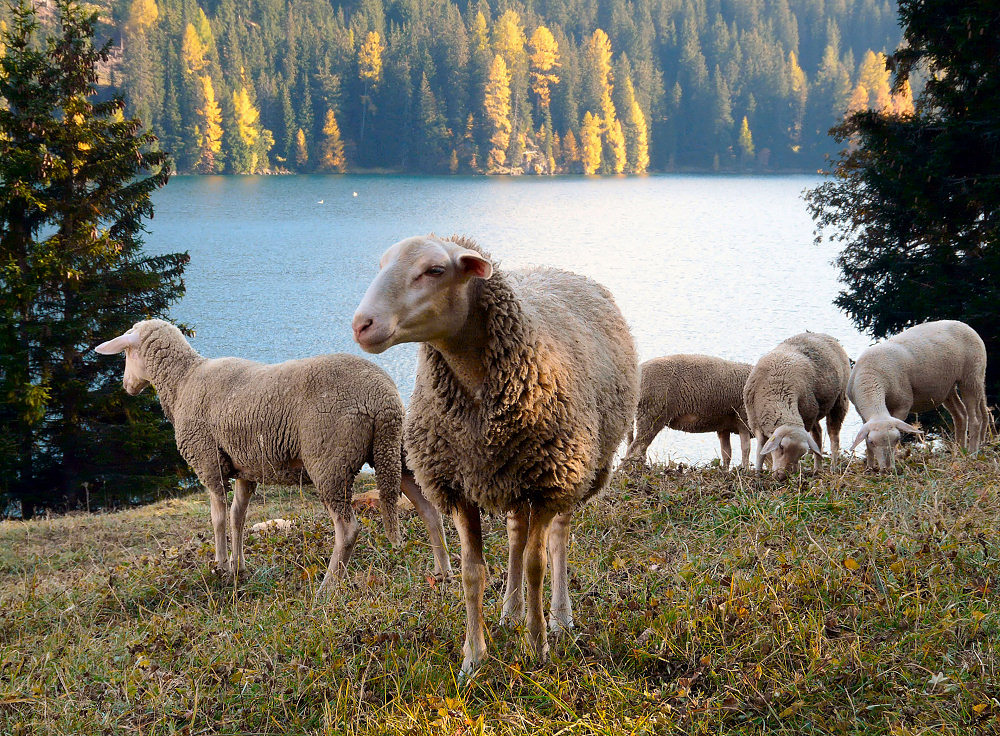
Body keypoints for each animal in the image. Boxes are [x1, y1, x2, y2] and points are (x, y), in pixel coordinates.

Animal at [94, 320, 454, 596]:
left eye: (126, 352)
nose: (126, 386)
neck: (183, 381)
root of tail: (384, 398)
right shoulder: (245, 469)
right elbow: (238, 517)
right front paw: (238, 568)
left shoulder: (209, 462)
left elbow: (218, 518)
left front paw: (220, 567)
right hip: (395, 452)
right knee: (429, 511)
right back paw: (443, 573)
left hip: (330, 461)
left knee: (348, 529)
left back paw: (326, 589)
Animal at [348, 233, 636, 676]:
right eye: (381, 264)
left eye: (435, 270)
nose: (362, 325)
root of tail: (554, 268)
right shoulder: (457, 486)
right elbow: (473, 572)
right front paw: (473, 658)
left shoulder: (549, 483)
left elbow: (537, 565)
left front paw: (537, 648)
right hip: (513, 474)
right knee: (517, 534)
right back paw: (510, 612)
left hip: (577, 470)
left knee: (558, 539)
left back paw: (559, 617)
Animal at [620, 356, 752, 472]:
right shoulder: (743, 419)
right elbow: (746, 447)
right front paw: (745, 470)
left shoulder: (724, 427)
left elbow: (726, 453)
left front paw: (725, 471)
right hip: (652, 414)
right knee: (635, 448)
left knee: (637, 447)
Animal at [744, 330, 852, 480]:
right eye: (781, 447)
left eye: (801, 454)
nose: (782, 476)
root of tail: (826, 336)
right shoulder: (755, 423)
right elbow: (760, 450)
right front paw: (758, 475)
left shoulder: (806, 418)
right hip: (816, 410)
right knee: (818, 434)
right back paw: (817, 469)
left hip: (838, 402)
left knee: (834, 437)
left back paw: (833, 468)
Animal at [848, 318, 988, 468]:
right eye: (872, 442)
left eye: (897, 440)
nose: (887, 468)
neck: (870, 379)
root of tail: (965, 325)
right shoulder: (862, 413)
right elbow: (865, 441)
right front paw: (870, 466)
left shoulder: (902, 405)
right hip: (947, 387)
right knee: (960, 415)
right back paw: (959, 452)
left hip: (972, 376)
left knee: (975, 419)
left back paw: (972, 454)